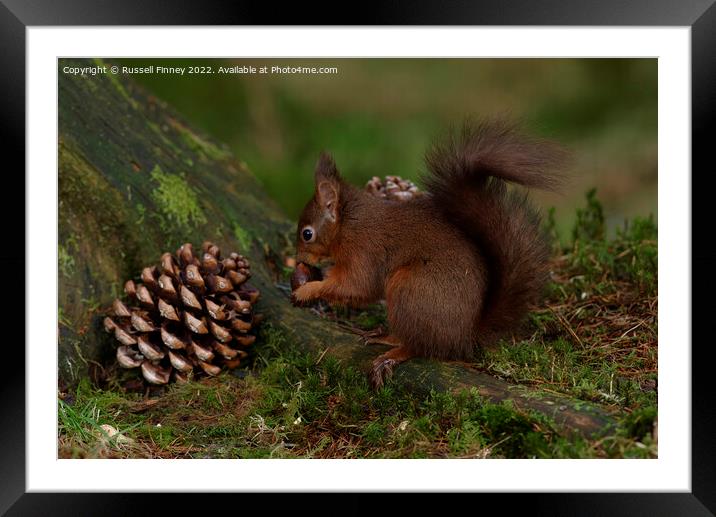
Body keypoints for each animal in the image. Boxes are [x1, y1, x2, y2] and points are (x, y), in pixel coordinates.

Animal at [290, 120, 564, 388]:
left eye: (307, 234)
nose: (300, 260)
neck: (349, 224)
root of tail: (464, 336)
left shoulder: (364, 252)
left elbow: (356, 286)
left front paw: (307, 290)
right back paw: (384, 335)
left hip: (410, 289)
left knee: (418, 348)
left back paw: (391, 353)